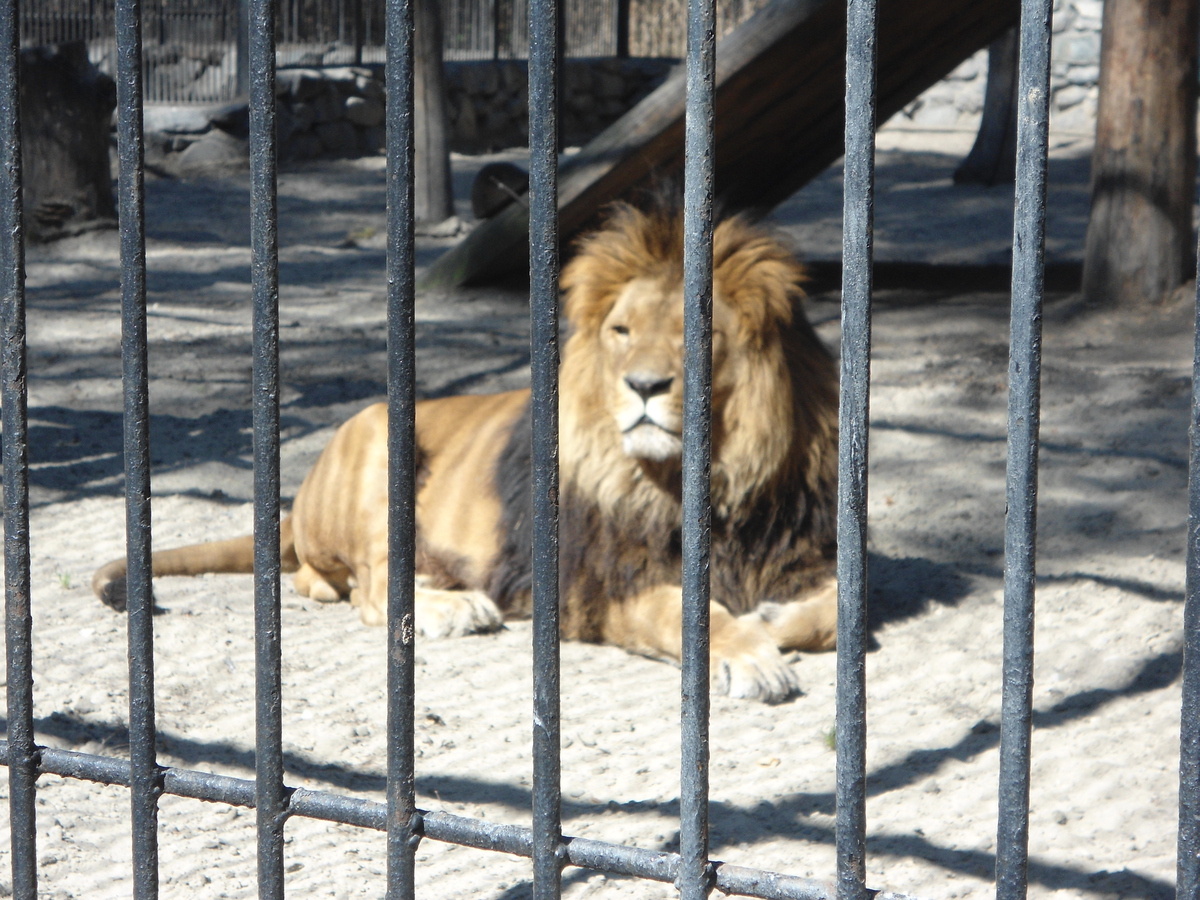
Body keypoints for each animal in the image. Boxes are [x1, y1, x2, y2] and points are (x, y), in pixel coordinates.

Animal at [93, 206, 840, 705]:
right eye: (621, 331)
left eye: (697, 335)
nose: (644, 386)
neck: (712, 480)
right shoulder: (593, 585)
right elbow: (685, 613)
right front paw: (752, 657)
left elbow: (835, 609)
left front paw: (773, 620)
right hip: (378, 443)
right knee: (371, 587)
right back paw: (455, 608)